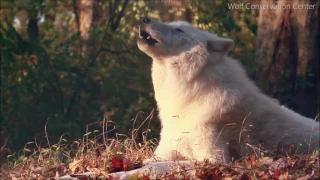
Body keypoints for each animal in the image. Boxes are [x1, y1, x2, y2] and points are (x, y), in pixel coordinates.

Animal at [136, 17, 318, 162]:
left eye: (179, 30)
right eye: (171, 24)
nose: (143, 19)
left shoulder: (213, 156)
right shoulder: (166, 148)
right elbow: (147, 163)